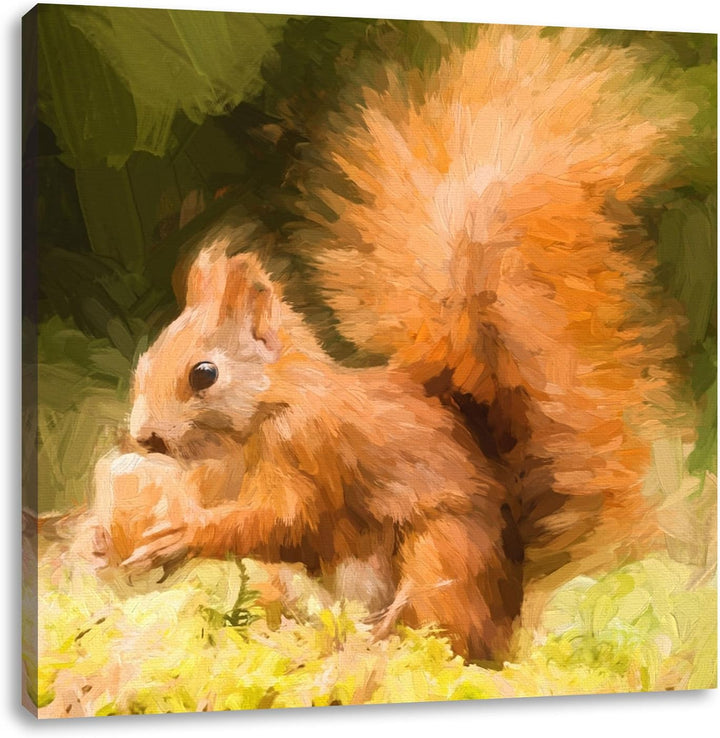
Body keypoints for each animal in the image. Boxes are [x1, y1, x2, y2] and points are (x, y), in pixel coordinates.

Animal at [100, 25, 694, 662]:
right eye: (145, 361)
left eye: (203, 374)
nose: (143, 437)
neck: (259, 417)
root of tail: (506, 620)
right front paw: (96, 539)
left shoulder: (313, 451)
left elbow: (285, 523)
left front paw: (183, 534)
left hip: (444, 552)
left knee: (436, 623)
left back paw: (379, 647)